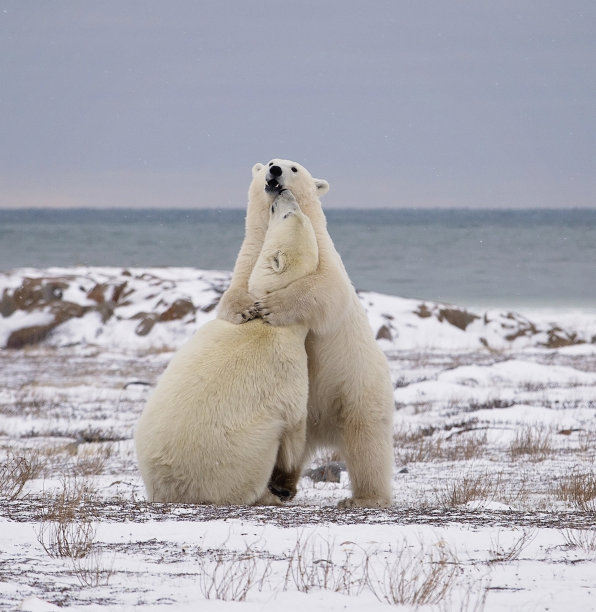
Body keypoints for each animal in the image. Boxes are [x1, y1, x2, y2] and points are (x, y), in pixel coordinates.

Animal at [135, 192, 318, 506]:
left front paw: (286, 485)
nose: (284, 193)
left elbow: (294, 426)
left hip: (242, 458)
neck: (268, 325)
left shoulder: (289, 365)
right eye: (291, 214)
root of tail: (174, 488)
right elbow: (295, 426)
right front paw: (286, 487)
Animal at [219, 158, 396, 506]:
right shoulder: (250, 257)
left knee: (366, 442)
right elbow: (233, 292)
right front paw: (244, 309)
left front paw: (272, 307)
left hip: (357, 388)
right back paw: (281, 485)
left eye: (294, 168)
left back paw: (364, 497)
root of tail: (322, 427)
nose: (274, 170)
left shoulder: (323, 255)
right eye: (269, 161)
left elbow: (325, 289)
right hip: (299, 414)